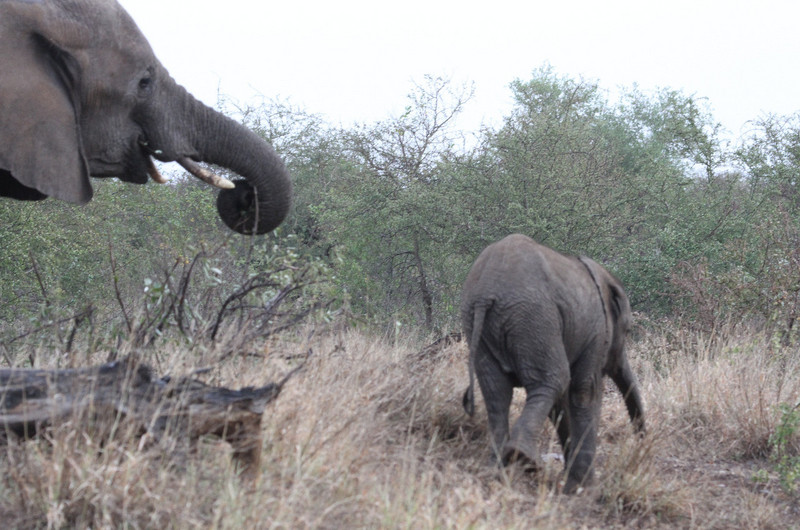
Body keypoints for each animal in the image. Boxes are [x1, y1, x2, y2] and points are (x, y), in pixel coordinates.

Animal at [462, 233, 644, 492]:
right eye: (627, 332)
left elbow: (563, 402)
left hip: (481, 324)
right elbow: (584, 392)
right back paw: (523, 457)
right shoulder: (596, 333)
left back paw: (497, 467)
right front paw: (583, 488)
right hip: (534, 318)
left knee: (497, 394)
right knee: (554, 380)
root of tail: (485, 295)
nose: (641, 442)